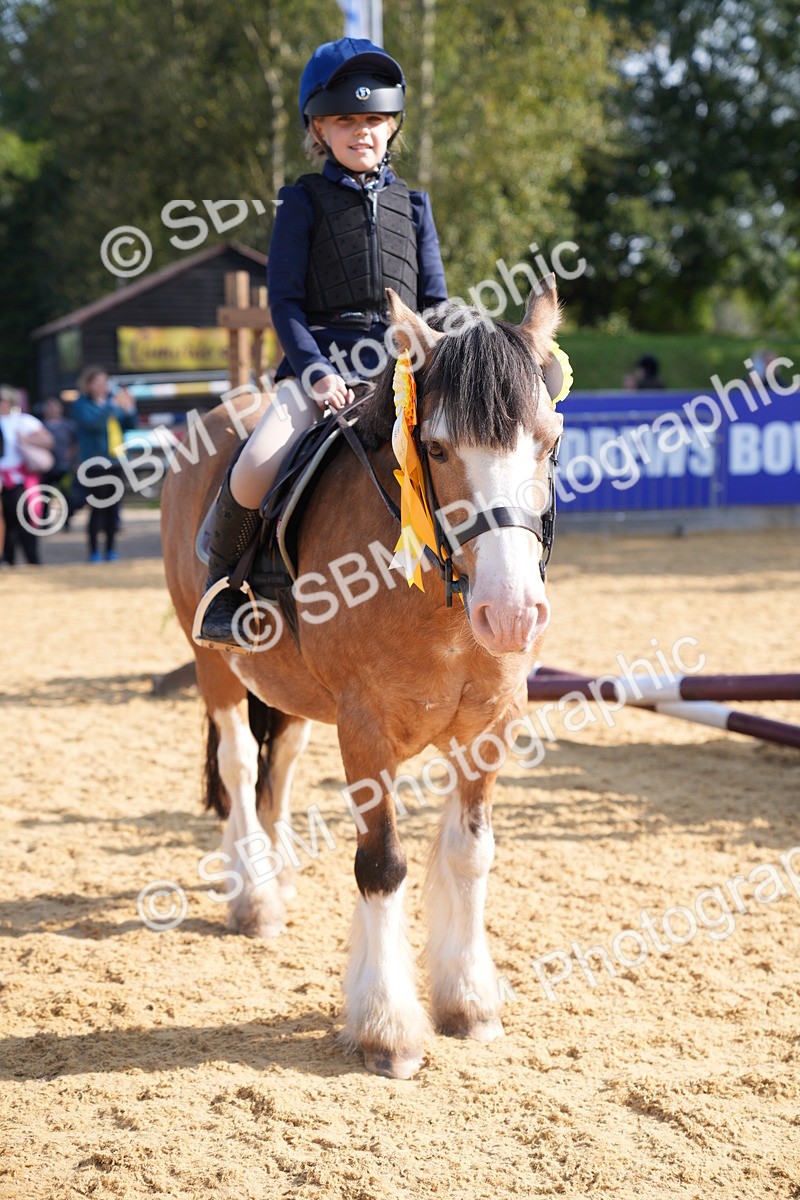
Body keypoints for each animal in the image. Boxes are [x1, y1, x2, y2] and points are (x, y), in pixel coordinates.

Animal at [160, 281, 564, 1079]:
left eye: (547, 440)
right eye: (435, 448)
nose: (511, 614)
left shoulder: (489, 727)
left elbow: (470, 854)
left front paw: (469, 1002)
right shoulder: (366, 729)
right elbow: (382, 864)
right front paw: (388, 1030)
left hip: (289, 690)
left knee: (279, 762)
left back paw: (277, 873)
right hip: (214, 664)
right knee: (239, 760)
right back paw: (254, 898)